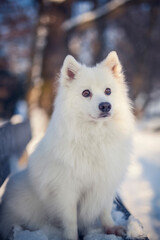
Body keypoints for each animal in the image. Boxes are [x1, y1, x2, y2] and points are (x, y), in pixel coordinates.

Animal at [0, 51, 134, 239]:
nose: (106, 106)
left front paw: (111, 228)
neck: (95, 136)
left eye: (108, 91)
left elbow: (105, 210)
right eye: (86, 93)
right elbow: (71, 222)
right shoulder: (67, 191)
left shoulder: (106, 183)